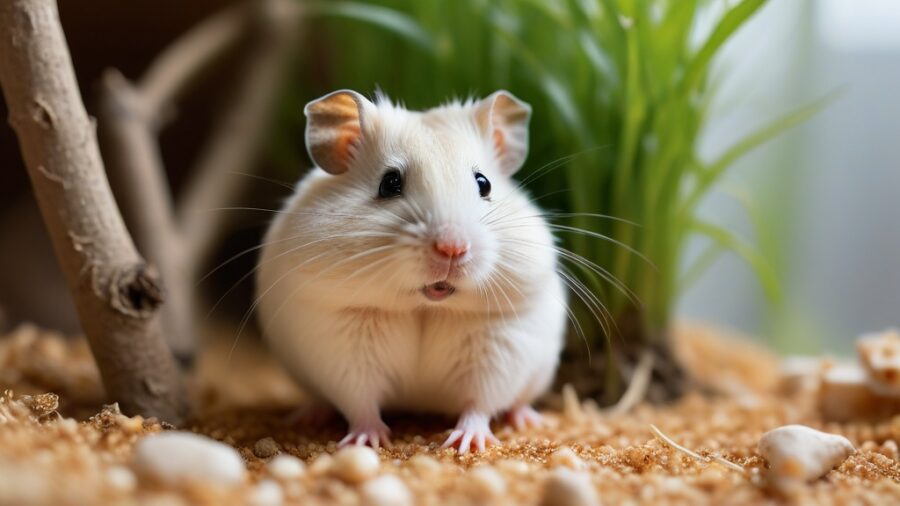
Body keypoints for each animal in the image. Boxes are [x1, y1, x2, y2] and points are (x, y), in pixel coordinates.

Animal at [255, 89, 567, 453]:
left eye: (484, 184)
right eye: (389, 183)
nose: (452, 248)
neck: (425, 305)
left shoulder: (497, 345)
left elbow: (480, 401)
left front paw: (467, 444)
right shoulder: (342, 344)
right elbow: (360, 401)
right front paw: (366, 441)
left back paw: (528, 419)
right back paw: (306, 416)